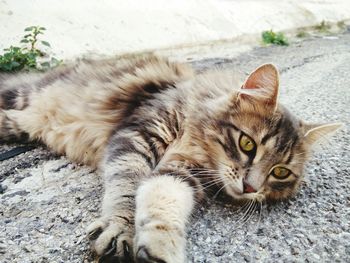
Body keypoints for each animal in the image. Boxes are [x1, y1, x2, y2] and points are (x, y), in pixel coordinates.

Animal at [0, 54, 340, 262]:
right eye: (247, 144)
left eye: (280, 172)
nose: (250, 188)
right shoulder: (138, 136)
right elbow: (126, 189)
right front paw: (121, 228)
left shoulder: (183, 173)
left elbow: (163, 198)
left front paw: (160, 247)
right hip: (22, 95)